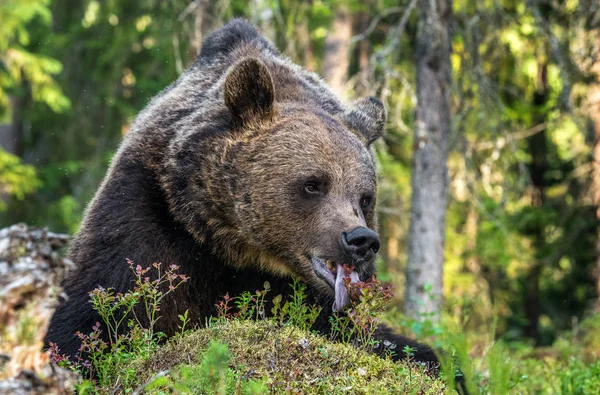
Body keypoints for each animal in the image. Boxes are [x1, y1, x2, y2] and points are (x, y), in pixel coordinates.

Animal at [44, 19, 440, 372]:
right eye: (313, 184)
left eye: (364, 197)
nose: (361, 240)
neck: (236, 245)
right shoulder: (148, 217)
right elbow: (92, 313)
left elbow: (376, 340)